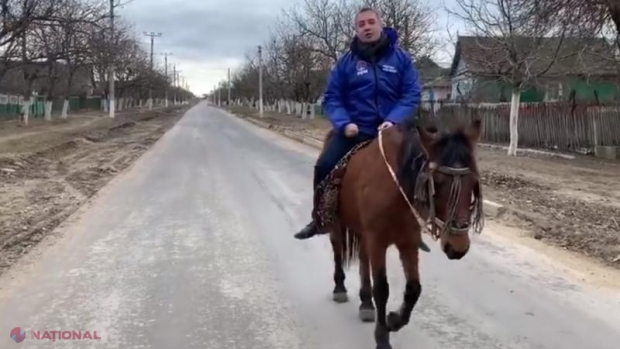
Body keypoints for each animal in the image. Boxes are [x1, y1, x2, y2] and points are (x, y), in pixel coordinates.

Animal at [320, 117, 484, 348]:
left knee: (363, 257)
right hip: (338, 223)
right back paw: (340, 288)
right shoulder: (378, 241)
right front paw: (382, 337)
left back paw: (366, 303)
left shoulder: (408, 241)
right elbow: (382, 289)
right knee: (337, 249)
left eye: (473, 184)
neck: (397, 188)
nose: (458, 247)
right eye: (438, 183)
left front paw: (393, 320)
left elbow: (414, 288)